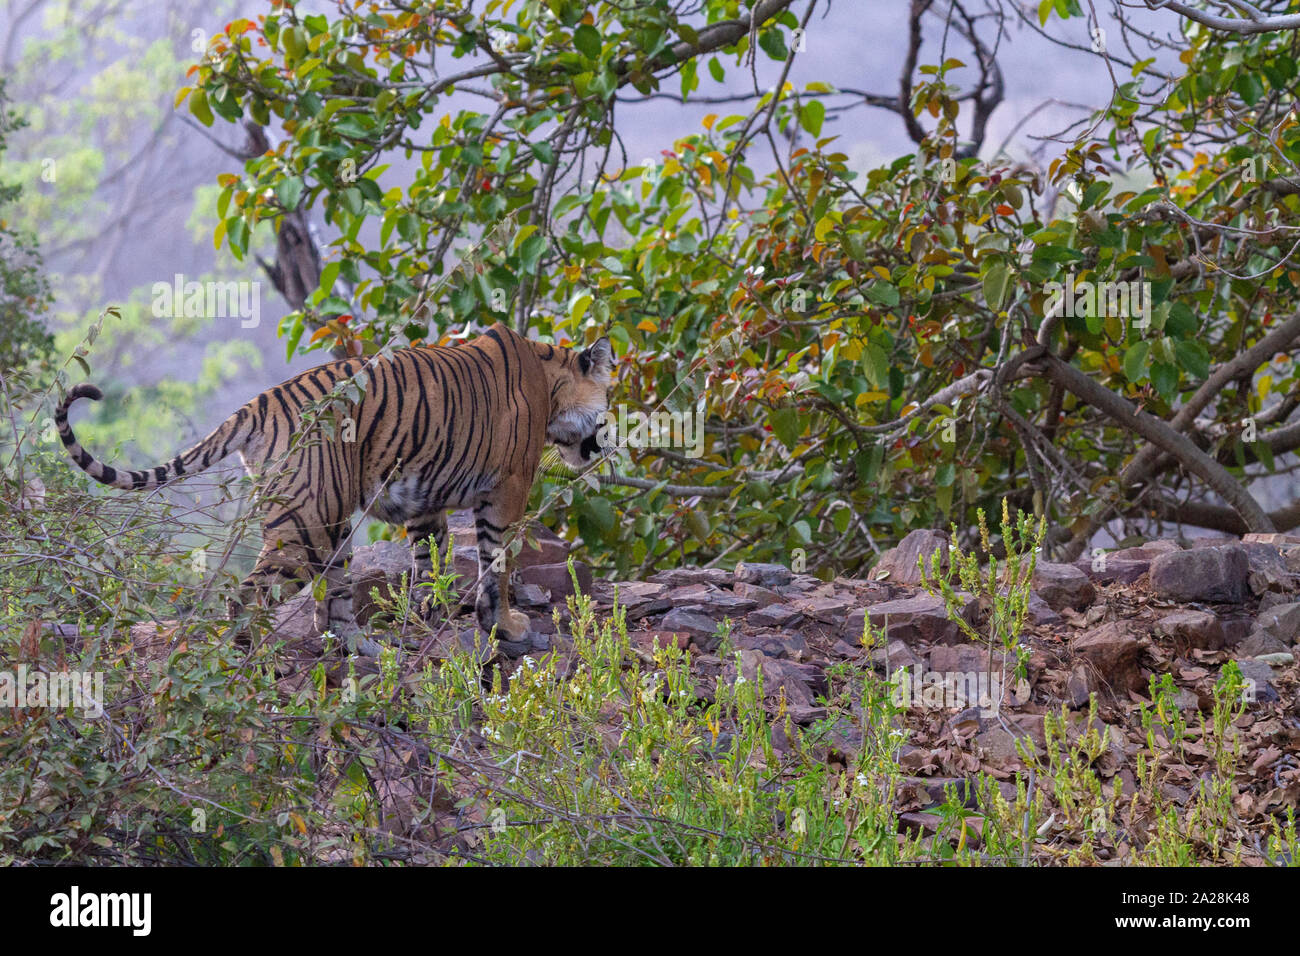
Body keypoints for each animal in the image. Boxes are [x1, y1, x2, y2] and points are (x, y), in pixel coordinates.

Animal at [55, 325, 613, 655]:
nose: (607, 443)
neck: (551, 378)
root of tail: (256, 404)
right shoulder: (509, 487)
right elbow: (496, 563)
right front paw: (507, 627)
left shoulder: (425, 500)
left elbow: (429, 562)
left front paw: (429, 618)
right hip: (306, 529)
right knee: (246, 596)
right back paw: (252, 656)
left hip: (331, 525)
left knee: (335, 604)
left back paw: (368, 649)